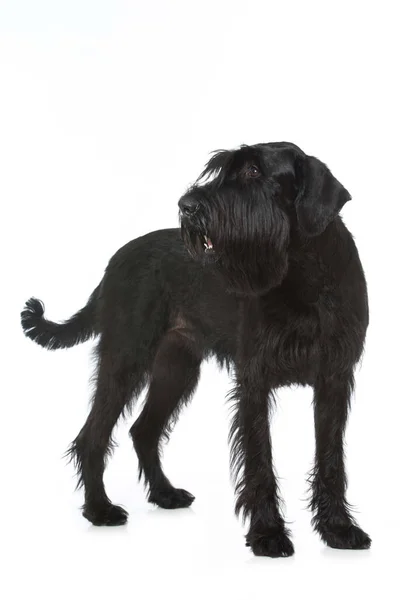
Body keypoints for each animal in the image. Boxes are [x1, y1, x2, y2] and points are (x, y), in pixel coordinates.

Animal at [21, 142, 372, 556]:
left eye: (254, 171)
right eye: (222, 168)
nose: (187, 205)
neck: (303, 275)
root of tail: (115, 261)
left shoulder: (334, 379)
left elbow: (331, 458)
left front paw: (338, 528)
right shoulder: (254, 381)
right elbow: (260, 459)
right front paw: (268, 534)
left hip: (176, 368)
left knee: (143, 430)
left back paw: (165, 494)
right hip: (126, 359)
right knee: (92, 435)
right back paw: (99, 510)